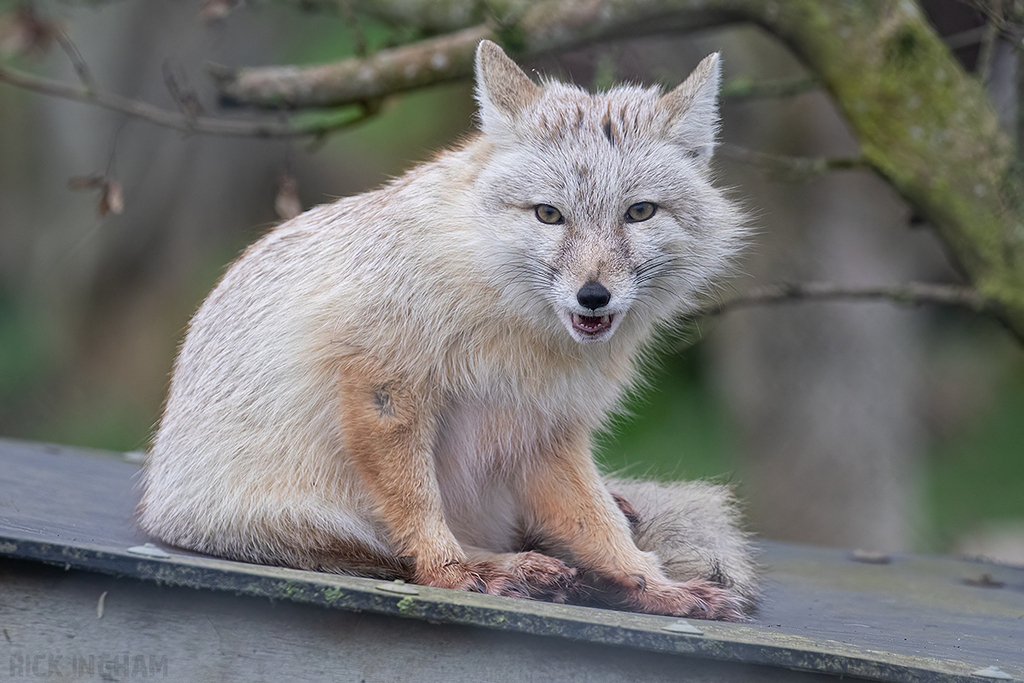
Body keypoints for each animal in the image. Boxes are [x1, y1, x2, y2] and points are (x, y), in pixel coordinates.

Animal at [138, 40, 755, 620]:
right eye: (549, 214)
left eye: (639, 212)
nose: (593, 295)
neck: (510, 324)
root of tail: (158, 505)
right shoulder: (383, 384)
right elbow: (418, 507)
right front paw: (451, 572)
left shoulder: (547, 429)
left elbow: (600, 526)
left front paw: (654, 588)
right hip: (309, 516)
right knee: (384, 553)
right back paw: (512, 569)